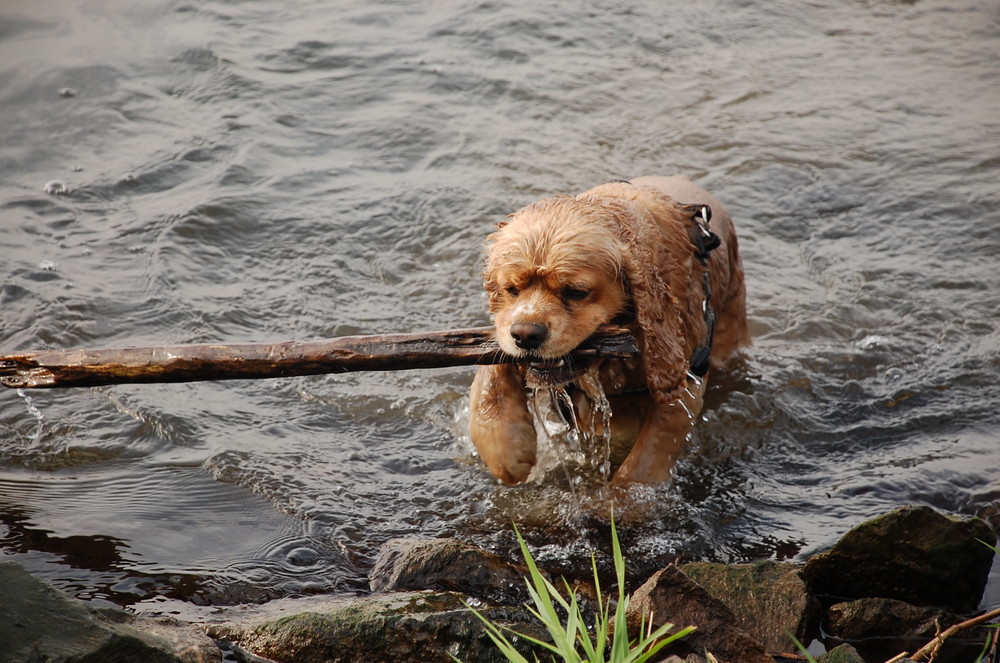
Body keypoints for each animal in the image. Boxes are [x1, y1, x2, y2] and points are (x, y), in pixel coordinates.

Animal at [470, 175, 752, 488]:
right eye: (511, 289)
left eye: (576, 292)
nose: (525, 335)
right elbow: (488, 376)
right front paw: (508, 453)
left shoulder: (682, 377)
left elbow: (643, 461)